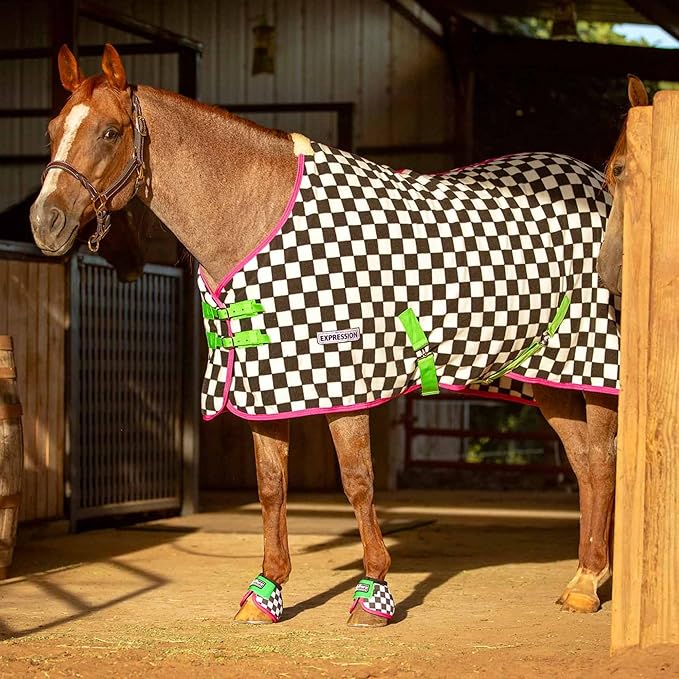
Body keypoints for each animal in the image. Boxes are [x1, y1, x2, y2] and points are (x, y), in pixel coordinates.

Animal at [30, 44, 619, 627]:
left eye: (110, 132)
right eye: (52, 129)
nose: (45, 223)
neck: (258, 217)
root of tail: (600, 181)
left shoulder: (345, 384)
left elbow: (357, 481)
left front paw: (374, 593)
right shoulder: (264, 389)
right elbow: (271, 487)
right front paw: (265, 592)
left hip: (600, 366)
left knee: (603, 460)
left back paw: (588, 584)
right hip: (546, 374)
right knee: (586, 466)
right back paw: (585, 577)